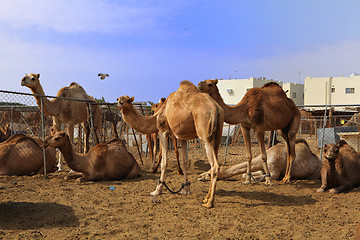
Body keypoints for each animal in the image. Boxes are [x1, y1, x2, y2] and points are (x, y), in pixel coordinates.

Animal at [116, 80, 224, 208]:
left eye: (128, 100)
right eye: (118, 98)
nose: (120, 102)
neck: (158, 115)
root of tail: (215, 108)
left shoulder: (163, 131)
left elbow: (164, 162)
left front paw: (157, 190)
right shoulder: (182, 136)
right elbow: (184, 161)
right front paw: (185, 189)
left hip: (204, 133)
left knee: (214, 166)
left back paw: (209, 202)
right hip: (218, 133)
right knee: (214, 163)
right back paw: (205, 198)